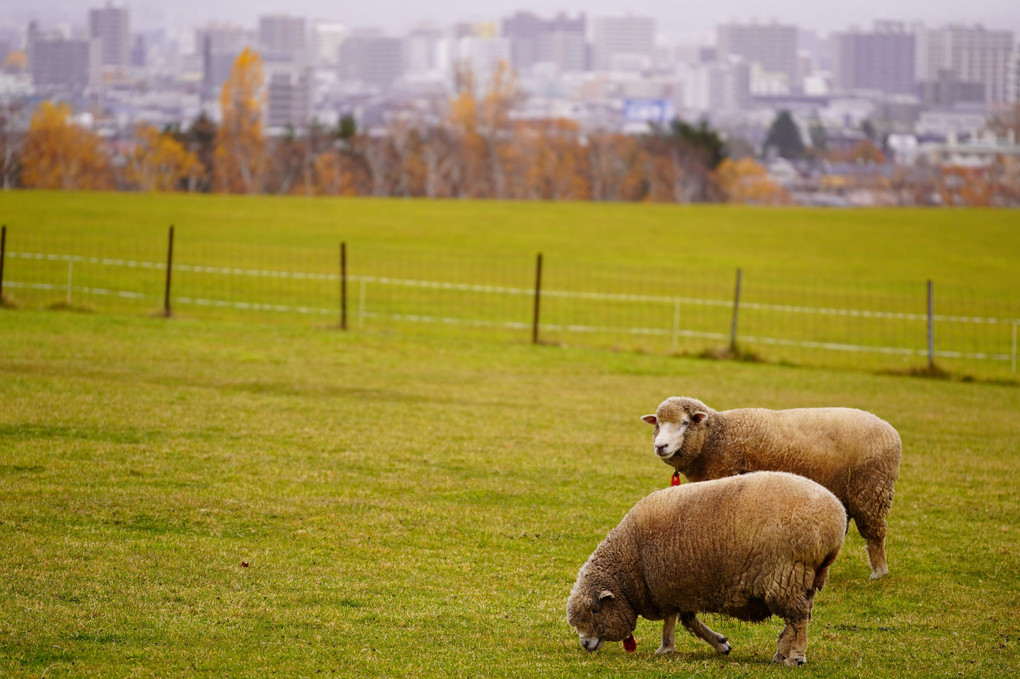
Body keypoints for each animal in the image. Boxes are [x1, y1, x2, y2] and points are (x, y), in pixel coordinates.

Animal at [567, 468, 844, 664]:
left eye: (595, 610)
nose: (585, 645)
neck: (631, 559)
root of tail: (835, 522)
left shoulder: (666, 587)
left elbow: (672, 621)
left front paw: (665, 648)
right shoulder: (681, 588)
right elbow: (688, 620)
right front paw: (721, 643)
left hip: (787, 574)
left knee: (797, 618)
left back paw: (795, 656)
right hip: (802, 579)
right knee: (797, 617)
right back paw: (781, 654)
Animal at [640, 393, 905, 579]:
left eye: (685, 423)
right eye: (658, 423)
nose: (661, 446)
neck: (717, 437)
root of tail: (890, 430)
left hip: (871, 490)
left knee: (875, 534)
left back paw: (879, 572)